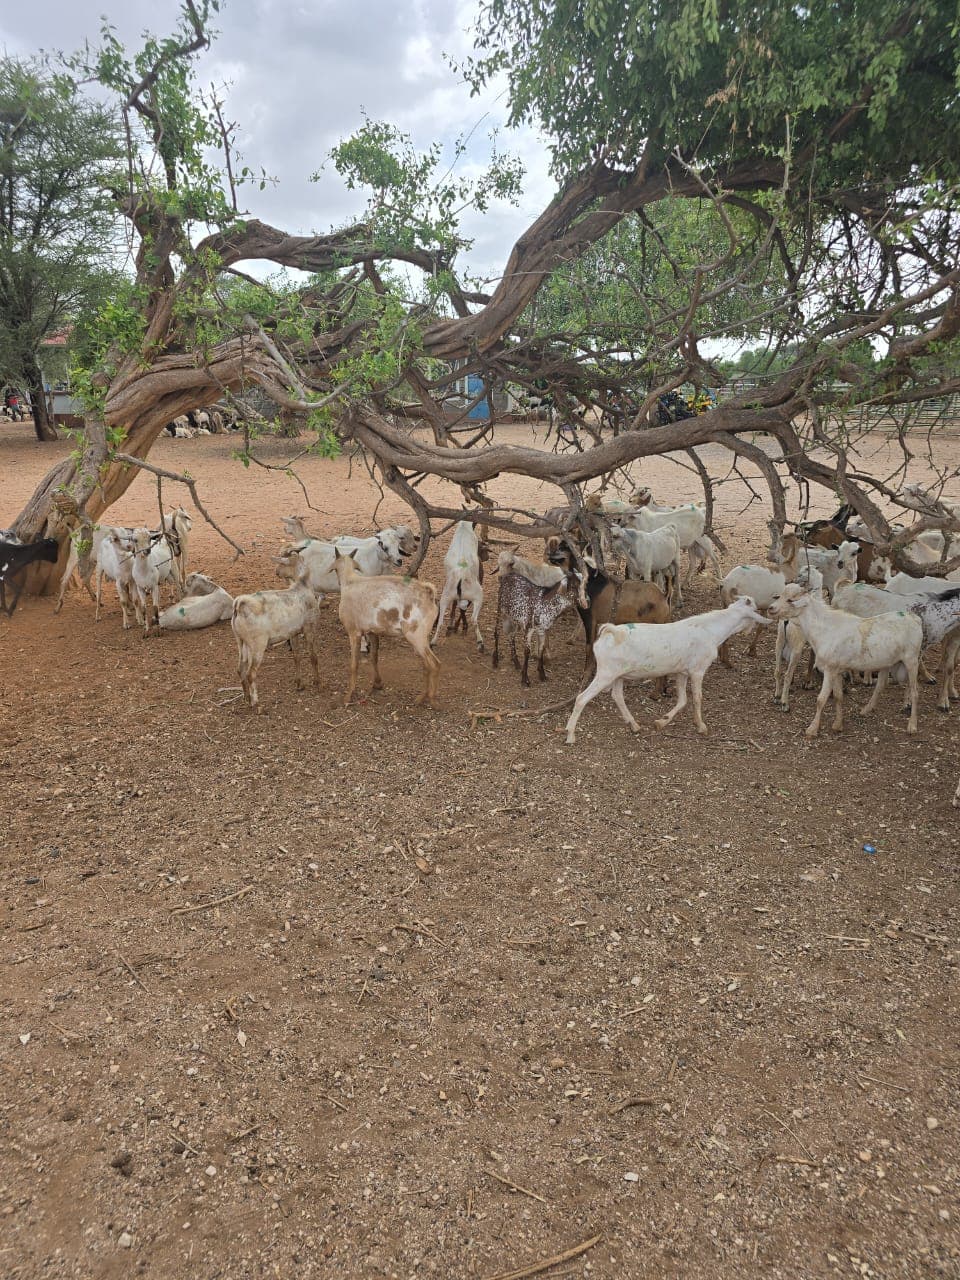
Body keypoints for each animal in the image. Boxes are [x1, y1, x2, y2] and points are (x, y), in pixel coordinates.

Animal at [232, 564, 322, 712]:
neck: (304, 586)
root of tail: (240, 604)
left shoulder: (293, 633)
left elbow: (296, 657)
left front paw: (299, 684)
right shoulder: (310, 627)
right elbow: (313, 657)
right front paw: (318, 683)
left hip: (241, 642)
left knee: (240, 669)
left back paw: (246, 698)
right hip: (257, 645)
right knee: (251, 673)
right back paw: (256, 704)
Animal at [333, 549, 440, 707]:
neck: (350, 581)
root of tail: (428, 593)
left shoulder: (354, 632)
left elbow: (354, 664)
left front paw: (348, 696)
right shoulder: (372, 632)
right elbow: (374, 657)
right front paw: (377, 684)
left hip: (416, 636)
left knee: (433, 664)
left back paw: (430, 698)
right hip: (423, 637)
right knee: (428, 664)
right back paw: (422, 697)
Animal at [433, 520, 486, 650]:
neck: (463, 526)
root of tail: (461, 578)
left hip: (446, 596)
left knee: (441, 621)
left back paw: (433, 642)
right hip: (479, 595)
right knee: (473, 619)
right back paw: (480, 642)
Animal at [563, 597, 769, 744]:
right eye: (753, 610)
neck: (711, 630)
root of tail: (610, 631)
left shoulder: (681, 672)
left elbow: (683, 700)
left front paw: (661, 721)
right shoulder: (697, 670)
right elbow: (697, 698)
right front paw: (701, 726)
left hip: (617, 674)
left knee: (617, 696)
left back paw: (634, 725)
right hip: (605, 673)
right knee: (581, 698)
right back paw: (570, 735)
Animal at [770, 584, 922, 736]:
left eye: (790, 600)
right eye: (780, 596)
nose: (771, 608)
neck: (823, 630)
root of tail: (915, 619)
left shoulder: (829, 669)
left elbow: (821, 700)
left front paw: (812, 729)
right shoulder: (836, 670)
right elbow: (838, 696)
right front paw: (838, 725)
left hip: (912, 659)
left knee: (915, 692)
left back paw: (912, 725)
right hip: (889, 661)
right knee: (881, 685)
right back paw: (866, 710)